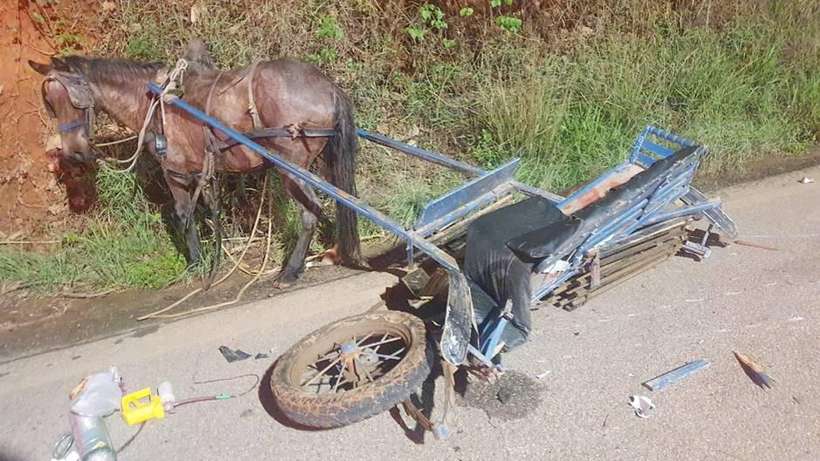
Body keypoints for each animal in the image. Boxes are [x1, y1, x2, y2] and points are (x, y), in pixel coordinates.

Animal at [29, 45, 362, 286]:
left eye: (72, 98)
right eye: (50, 103)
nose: (74, 153)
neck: (153, 100)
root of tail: (327, 86)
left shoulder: (174, 171)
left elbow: (183, 215)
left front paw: (196, 263)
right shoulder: (201, 171)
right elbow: (208, 211)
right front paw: (215, 254)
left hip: (292, 167)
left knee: (309, 213)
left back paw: (290, 271)